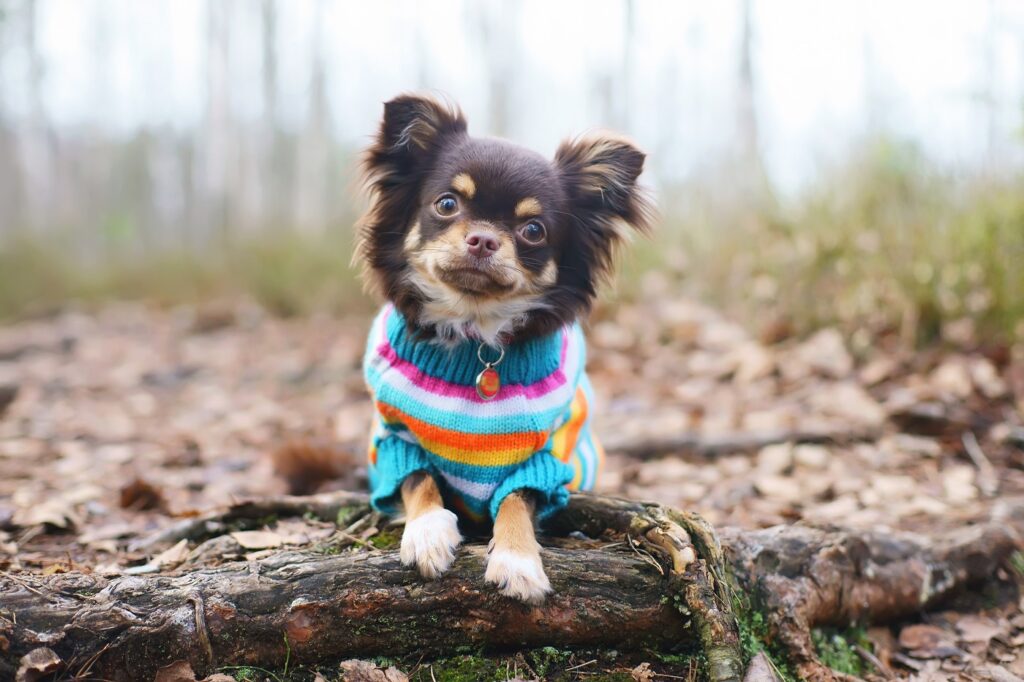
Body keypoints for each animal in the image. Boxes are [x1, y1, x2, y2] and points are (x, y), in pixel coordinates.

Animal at [356, 93, 651, 602]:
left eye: (533, 230)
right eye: (447, 204)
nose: (483, 238)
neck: (475, 335)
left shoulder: (542, 462)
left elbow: (515, 500)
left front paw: (517, 560)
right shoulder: (396, 440)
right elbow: (420, 480)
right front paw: (428, 532)